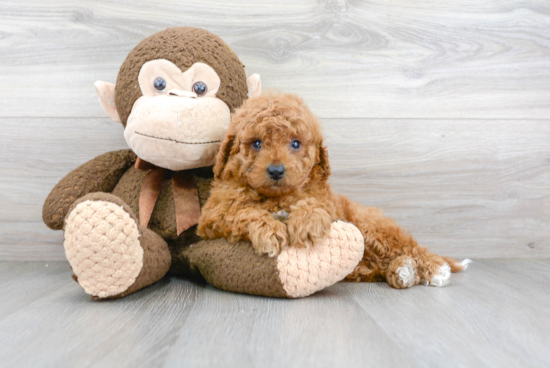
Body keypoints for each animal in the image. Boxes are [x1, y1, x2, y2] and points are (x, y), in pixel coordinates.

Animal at [197, 91, 470, 288]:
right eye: (256, 143)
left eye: (295, 144)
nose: (276, 170)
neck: (277, 197)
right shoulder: (213, 215)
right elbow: (244, 211)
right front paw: (270, 229)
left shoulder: (327, 202)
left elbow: (314, 205)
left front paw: (305, 225)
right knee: (386, 265)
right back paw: (404, 271)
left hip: (371, 226)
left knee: (410, 247)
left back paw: (434, 269)